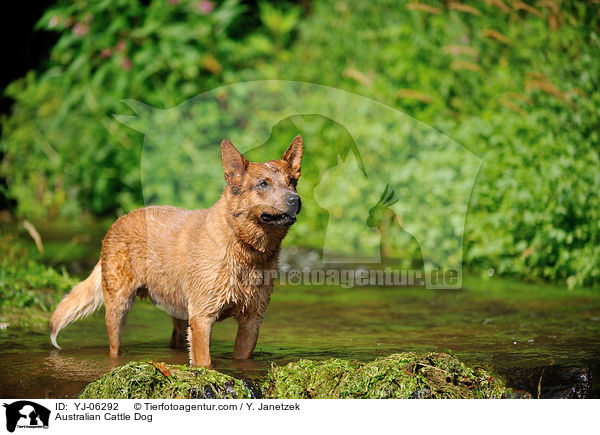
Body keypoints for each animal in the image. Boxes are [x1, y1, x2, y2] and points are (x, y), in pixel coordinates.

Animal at [49, 136, 302, 368]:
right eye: (263, 184)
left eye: (292, 181)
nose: (295, 200)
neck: (247, 251)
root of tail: (118, 220)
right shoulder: (202, 317)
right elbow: (204, 362)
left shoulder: (251, 321)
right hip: (118, 308)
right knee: (114, 346)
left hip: (179, 312)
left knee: (176, 340)